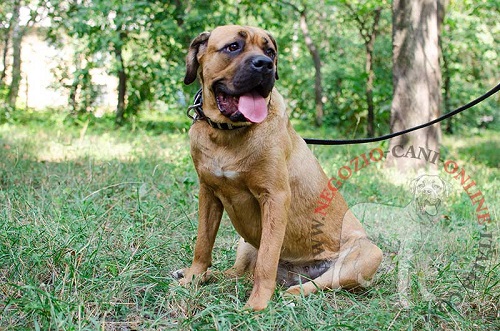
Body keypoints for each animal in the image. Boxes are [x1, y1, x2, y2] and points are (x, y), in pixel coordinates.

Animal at [176, 25, 382, 312]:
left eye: (270, 51)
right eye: (233, 47)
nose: (265, 64)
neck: (227, 134)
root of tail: (297, 273)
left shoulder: (274, 198)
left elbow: (267, 260)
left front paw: (256, 305)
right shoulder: (208, 193)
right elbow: (203, 244)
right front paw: (194, 277)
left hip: (369, 253)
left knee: (320, 283)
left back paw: (293, 293)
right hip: (245, 242)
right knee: (238, 273)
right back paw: (207, 275)